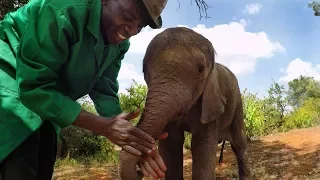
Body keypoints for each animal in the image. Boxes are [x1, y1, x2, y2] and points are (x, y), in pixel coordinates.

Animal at [119, 26, 251, 180]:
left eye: (201, 69)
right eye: (144, 70)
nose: (140, 170)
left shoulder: (211, 104)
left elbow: (201, 146)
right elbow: (171, 144)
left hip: (238, 101)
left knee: (239, 144)